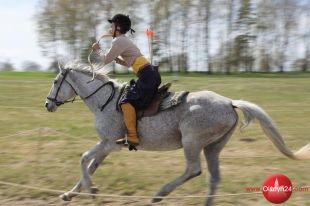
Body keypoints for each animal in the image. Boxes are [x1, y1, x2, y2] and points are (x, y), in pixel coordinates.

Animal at [44, 63, 308, 206]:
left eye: (56, 81)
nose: (47, 104)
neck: (105, 101)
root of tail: (229, 102)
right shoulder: (107, 145)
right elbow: (90, 166)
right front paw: (70, 194)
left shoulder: (110, 143)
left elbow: (83, 159)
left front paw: (91, 191)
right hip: (213, 147)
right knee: (214, 178)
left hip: (192, 142)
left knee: (193, 170)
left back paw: (160, 194)